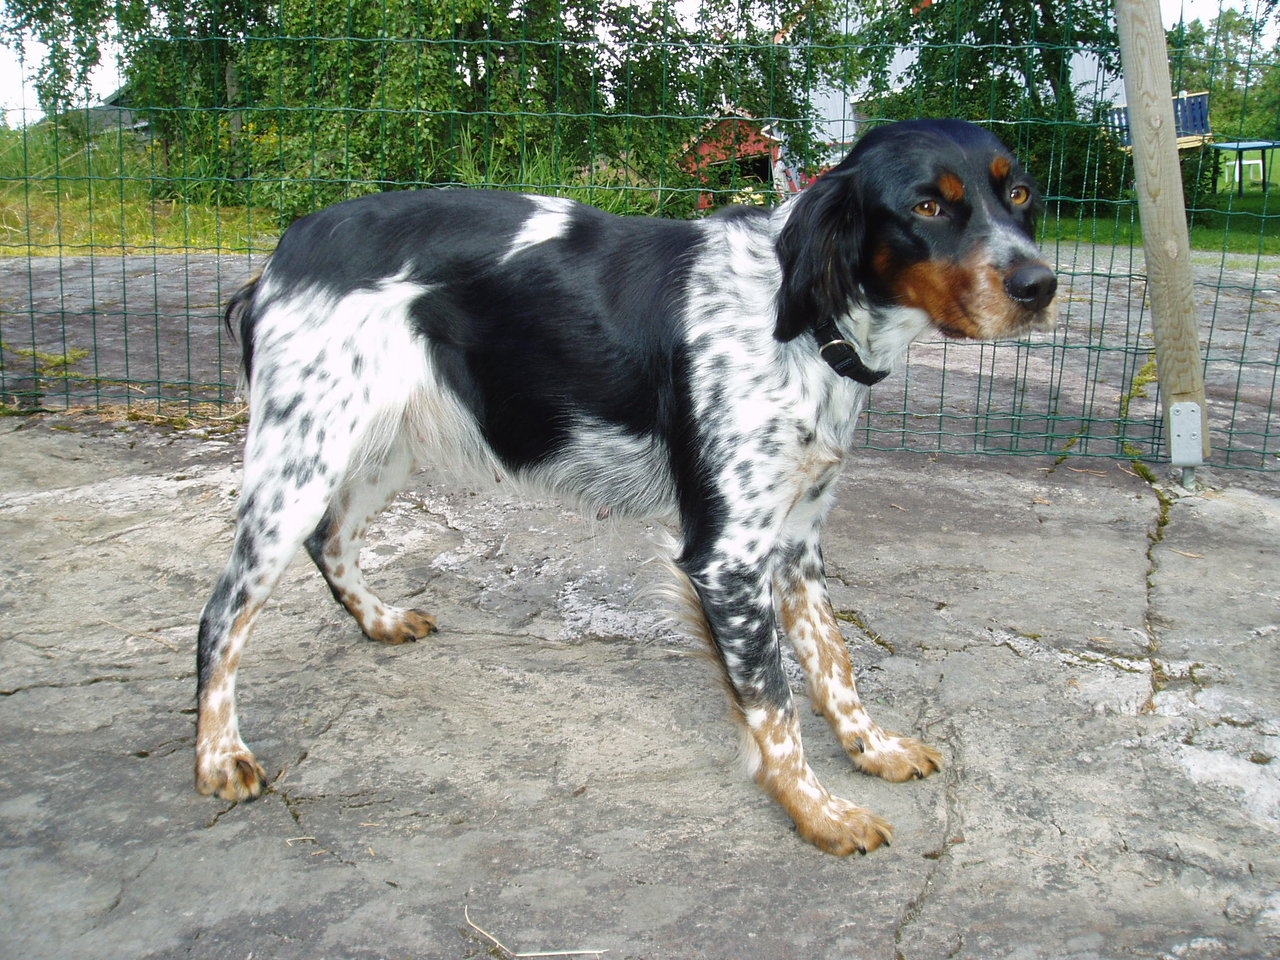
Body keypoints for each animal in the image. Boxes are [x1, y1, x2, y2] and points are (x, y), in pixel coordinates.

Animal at [196, 119, 1057, 856]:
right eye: (926, 205)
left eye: (1016, 194)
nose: (1040, 284)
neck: (805, 323)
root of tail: (281, 254)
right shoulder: (727, 557)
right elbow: (775, 700)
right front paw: (819, 812)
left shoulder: (796, 541)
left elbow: (833, 662)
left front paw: (871, 747)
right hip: (299, 462)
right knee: (222, 613)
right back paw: (217, 754)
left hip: (379, 448)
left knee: (331, 538)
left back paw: (378, 621)